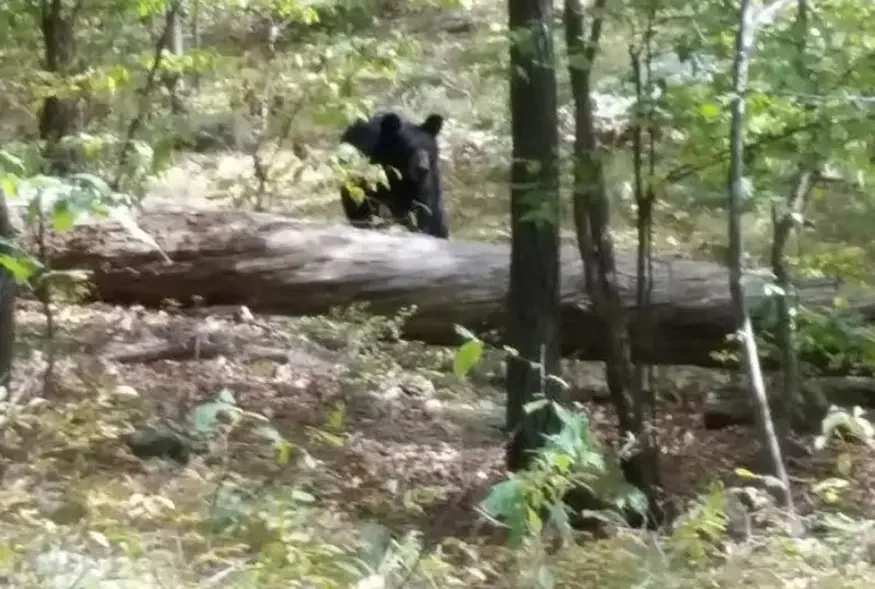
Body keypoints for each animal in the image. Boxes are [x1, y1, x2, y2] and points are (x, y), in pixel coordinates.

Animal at [340, 110, 452, 239]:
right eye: (409, 148)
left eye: (427, 148)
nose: (422, 168)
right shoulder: (368, 166)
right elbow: (361, 197)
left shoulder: (423, 181)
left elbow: (426, 205)